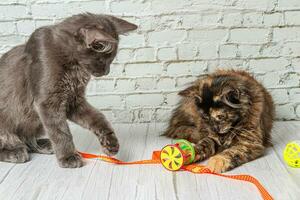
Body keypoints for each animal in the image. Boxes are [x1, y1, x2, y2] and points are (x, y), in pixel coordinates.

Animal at [0, 12, 137, 167]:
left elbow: (98, 118)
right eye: (102, 60)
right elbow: (60, 131)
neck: (75, 69)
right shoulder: (48, 103)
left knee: (28, 139)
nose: (107, 72)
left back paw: (43, 145)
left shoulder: (74, 100)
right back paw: (14, 151)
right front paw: (68, 156)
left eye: (111, 60)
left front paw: (110, 142)